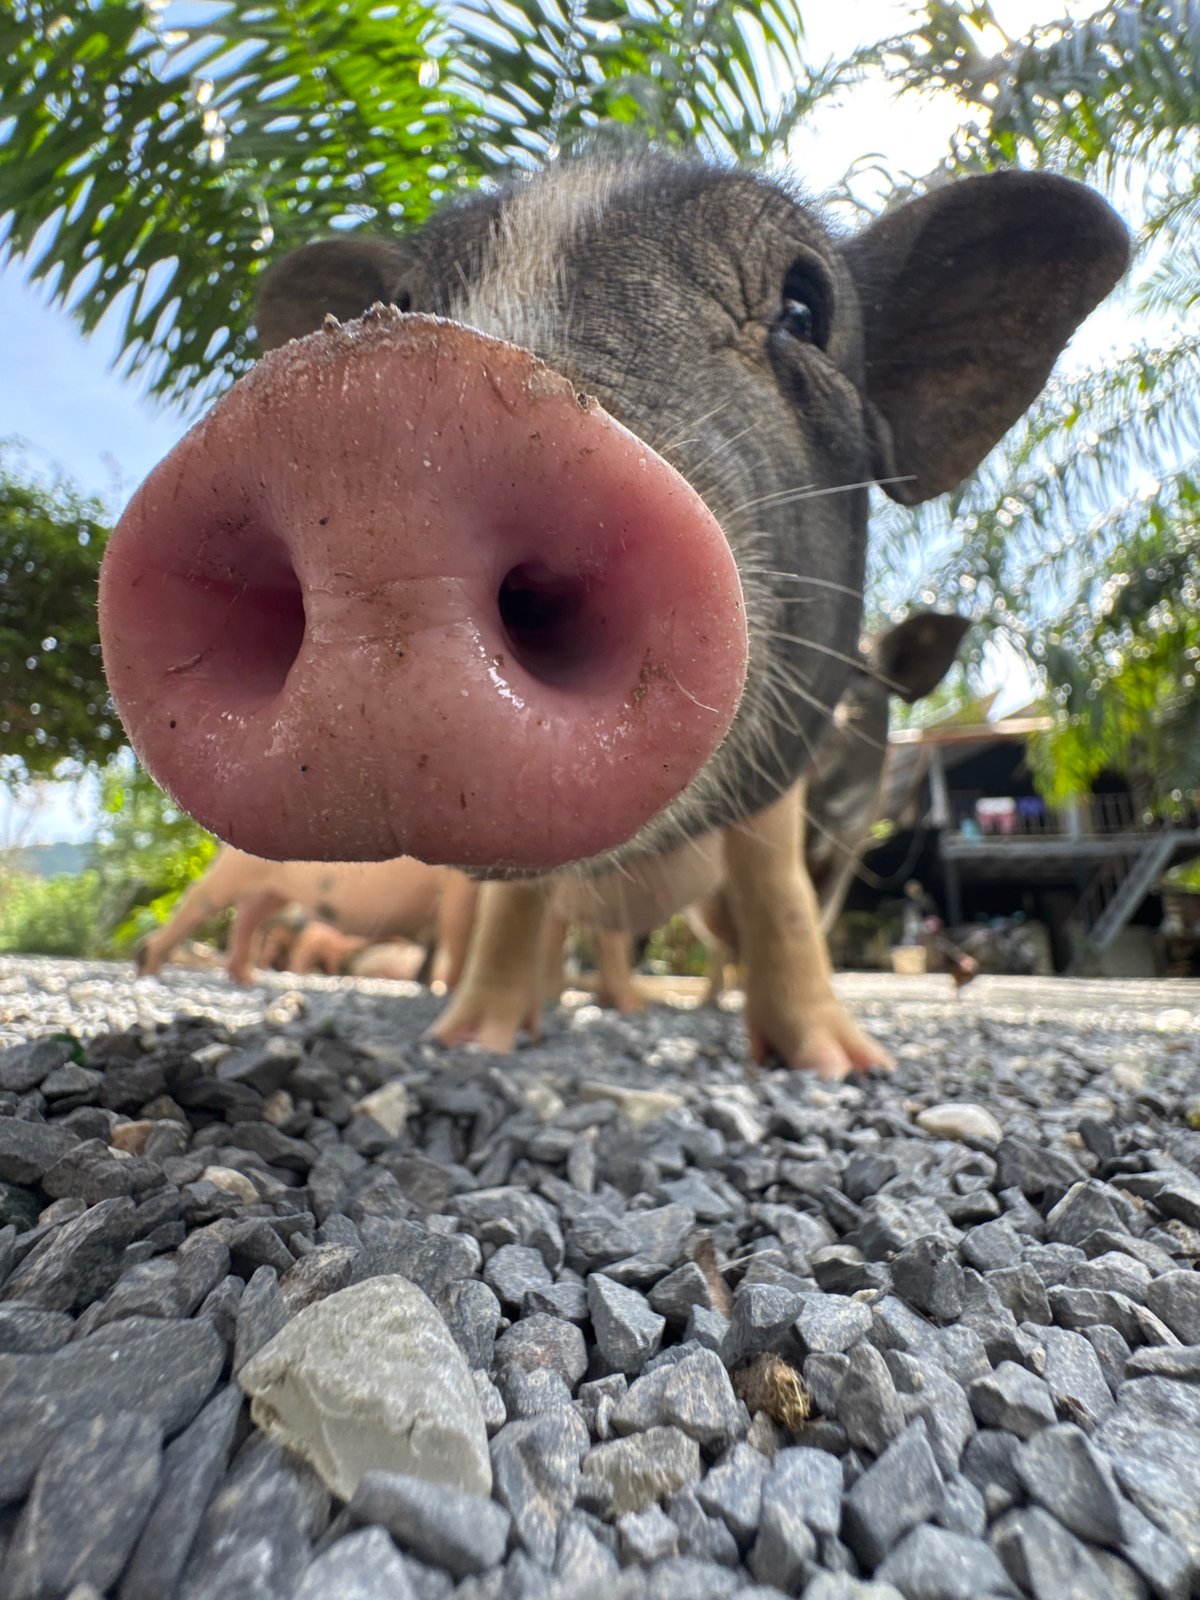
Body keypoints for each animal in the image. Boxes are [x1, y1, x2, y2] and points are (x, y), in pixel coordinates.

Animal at [136, 849, 477, 987]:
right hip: (237, 866)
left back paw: (246, 979)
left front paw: (431, 988)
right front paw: (449, 991)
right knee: (200, 896)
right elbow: (461, 935)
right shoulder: (461, 885)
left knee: (249, 914)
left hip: (274, 890)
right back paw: (149, 967)